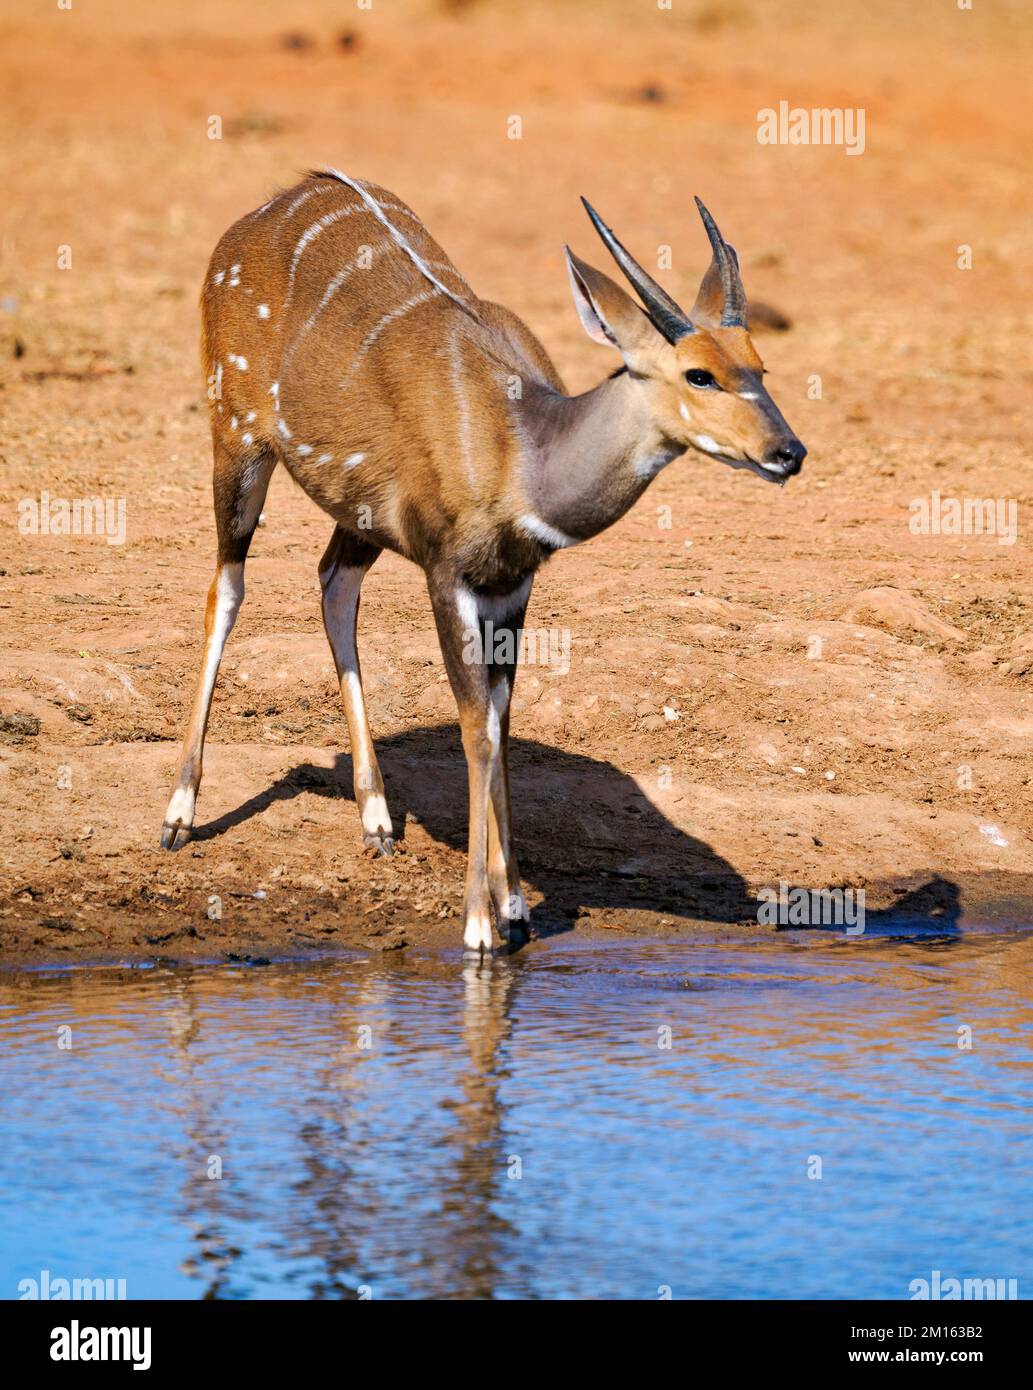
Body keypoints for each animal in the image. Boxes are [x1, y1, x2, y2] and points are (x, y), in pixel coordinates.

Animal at [161, 168, 806, 956]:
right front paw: (478, 927)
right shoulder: (448, 575)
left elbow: (500, 722)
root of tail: (268, 206)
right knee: (226, 590)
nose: (788, 452)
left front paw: (516, 906)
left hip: (357, 515)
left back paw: (377, 820)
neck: (522, 450)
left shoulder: (511, 586)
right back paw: (179, 814)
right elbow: (474, 728)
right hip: (237, 436)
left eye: (759, 366)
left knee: (332, 587)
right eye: (698, 375)